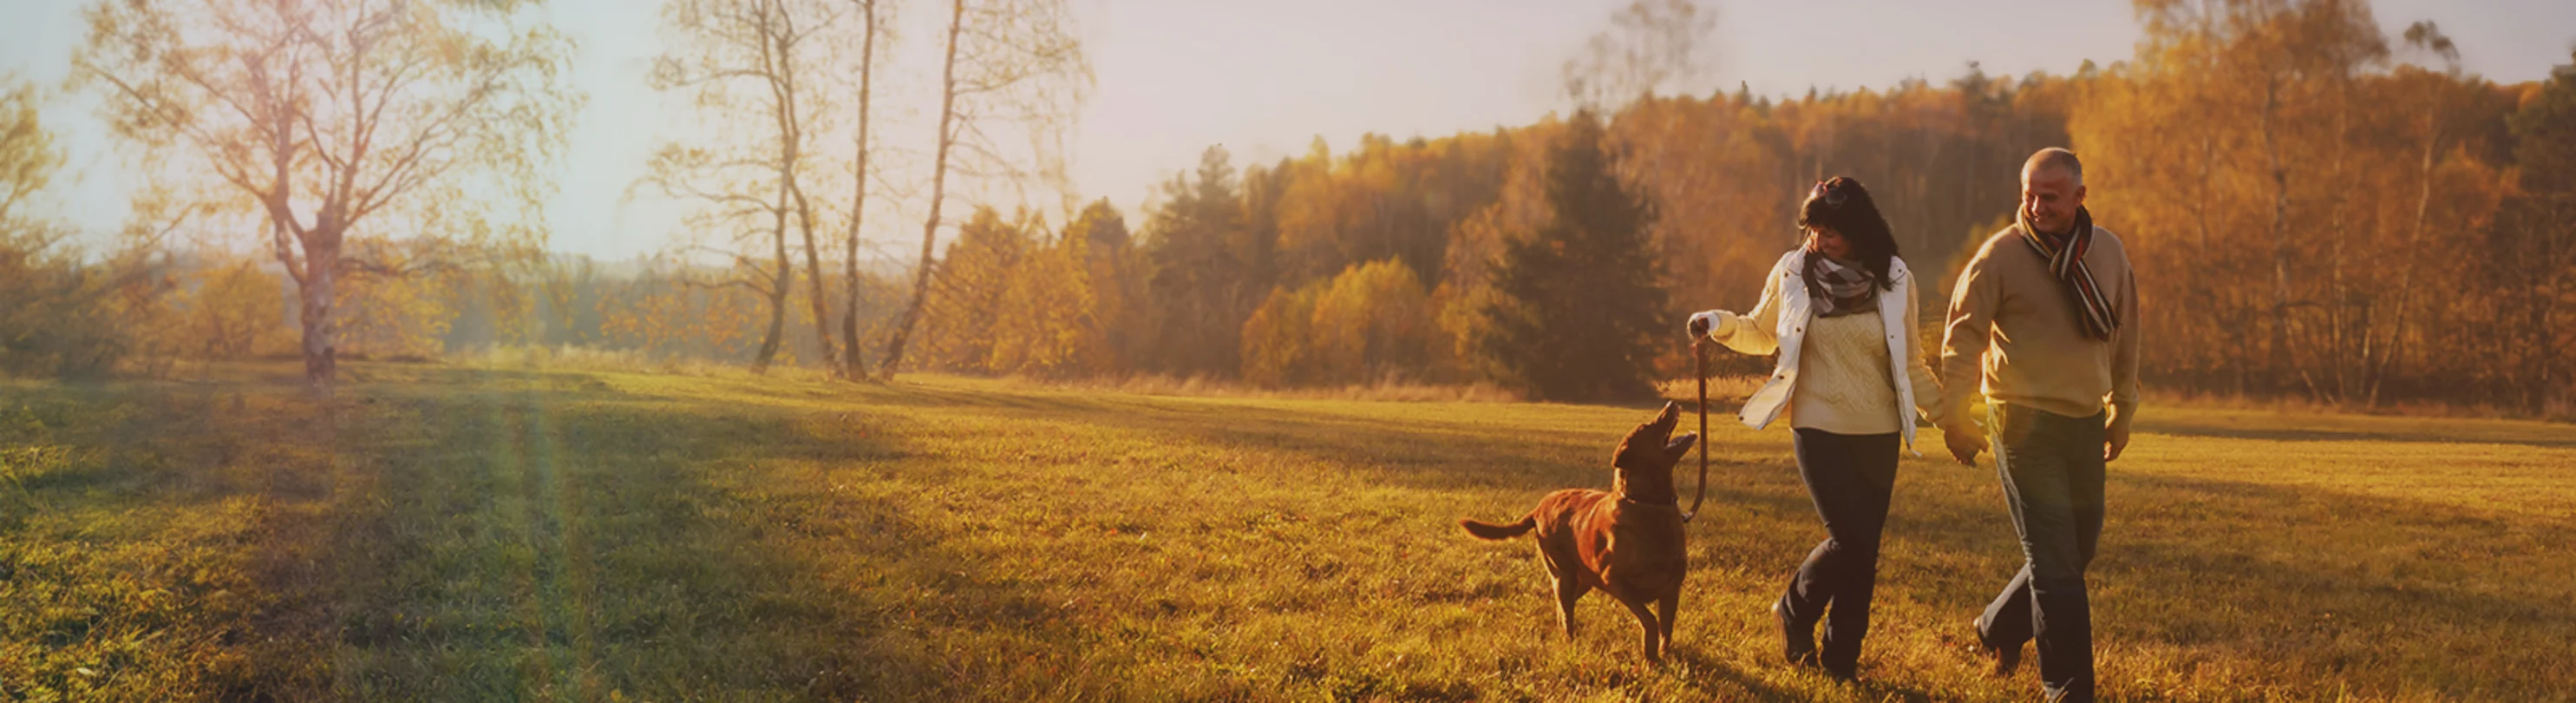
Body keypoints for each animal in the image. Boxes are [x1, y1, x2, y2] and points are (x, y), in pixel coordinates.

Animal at [1462, 398, 1700, 664]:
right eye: (1648, 427)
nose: (1671, 402)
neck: (1647, 503)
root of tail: (1538, 508)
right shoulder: (1614, 581)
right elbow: (1650, 621)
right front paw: (1650, 658)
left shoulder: (1671, 590)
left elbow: (1666, 629)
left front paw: (1663, 657)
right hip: (1563, 574)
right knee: (1566, 611)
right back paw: (1568, 643)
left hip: (1583, 578)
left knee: (1563, 607)